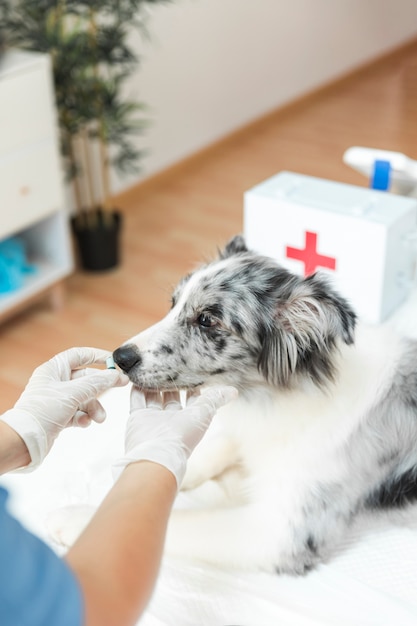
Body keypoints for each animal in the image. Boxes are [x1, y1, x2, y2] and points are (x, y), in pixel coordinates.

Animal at [113, 235, 416, 576]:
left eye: (206, 320)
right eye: (173, 303)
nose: (120, 357)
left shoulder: (280, 534)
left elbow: (178, 525)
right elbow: (216, 446)